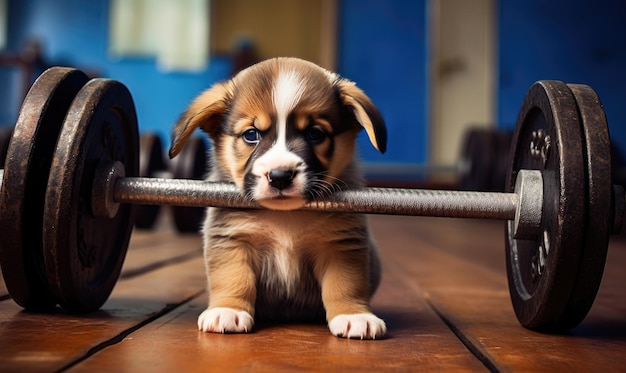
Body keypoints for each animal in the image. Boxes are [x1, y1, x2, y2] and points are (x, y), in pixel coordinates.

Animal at [169, 56, 386, 338]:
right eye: (251, 134)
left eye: (315, 134)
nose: (280, 176)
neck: (284, 218)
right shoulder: (231, 239)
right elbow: (233, 278)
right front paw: (227, 310)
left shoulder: (341, 244)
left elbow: (345, 283)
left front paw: (354, 315)